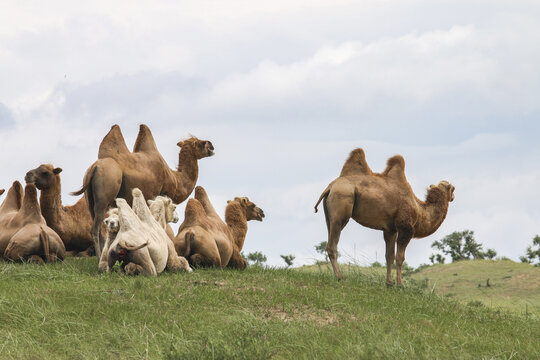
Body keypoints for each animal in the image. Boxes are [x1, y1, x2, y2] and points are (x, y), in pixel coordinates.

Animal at [72, 124, 215, 258]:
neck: (175, 179)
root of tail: (94, 167)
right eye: (201, 143)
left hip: (90, 200)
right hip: (104, 196)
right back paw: (99, 258)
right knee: (95, 229)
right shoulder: (159, 196)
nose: (211, 145)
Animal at [314, 148, 454, 286]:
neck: (420, 210)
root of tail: (330, 187)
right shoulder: (405, 227)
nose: (453, 197)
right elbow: (400, 257)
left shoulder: (390, 230)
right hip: (342, 204)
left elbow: (389, 256)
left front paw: (389, 283)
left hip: (329, 215)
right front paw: (400, 284)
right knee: (332, 245)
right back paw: (340, 277)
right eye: (453, 189)